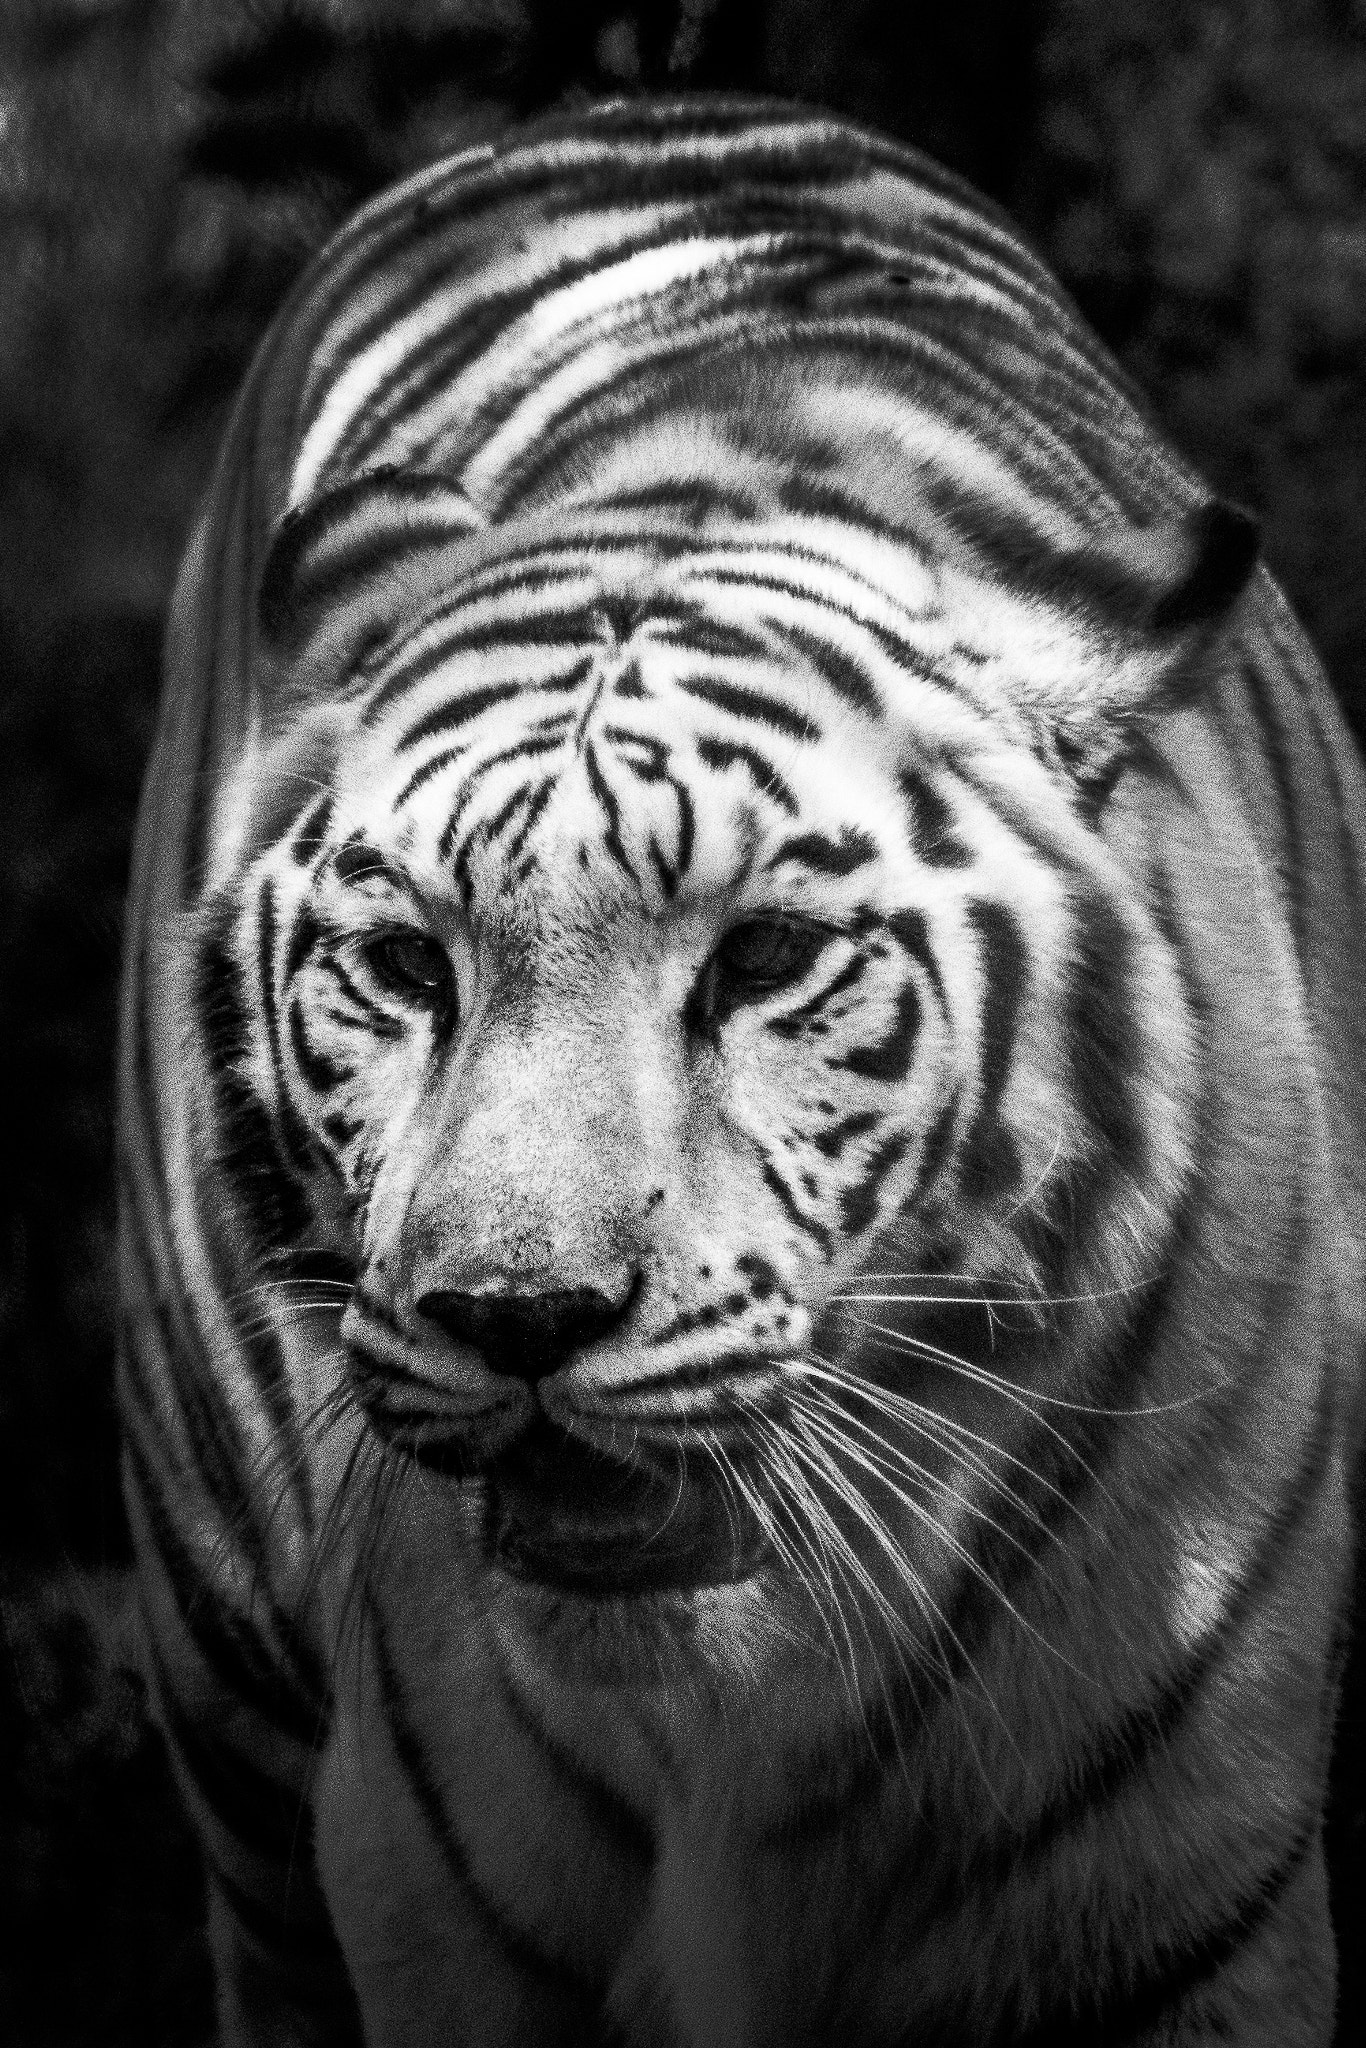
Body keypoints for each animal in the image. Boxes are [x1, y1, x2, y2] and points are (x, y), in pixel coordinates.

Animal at [118, 94, 1366, 2047]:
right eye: (405, 967)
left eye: (766, 958)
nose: (517, 1315)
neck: (738, 1702)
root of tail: (623, 111)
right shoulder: (431, 1913)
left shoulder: (1181, 1905)